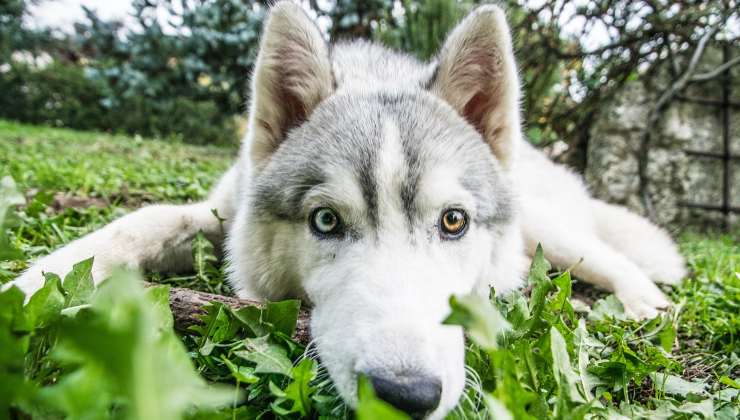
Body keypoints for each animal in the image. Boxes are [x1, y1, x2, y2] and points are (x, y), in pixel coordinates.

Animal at [10, 1, 688, 418]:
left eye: (453, 222)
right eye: (326, 221)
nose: (404, 395)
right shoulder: (220, 215)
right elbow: (144, 219)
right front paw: (34, 283)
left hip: (549, 230)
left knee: (608, 257)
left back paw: (642, 303)